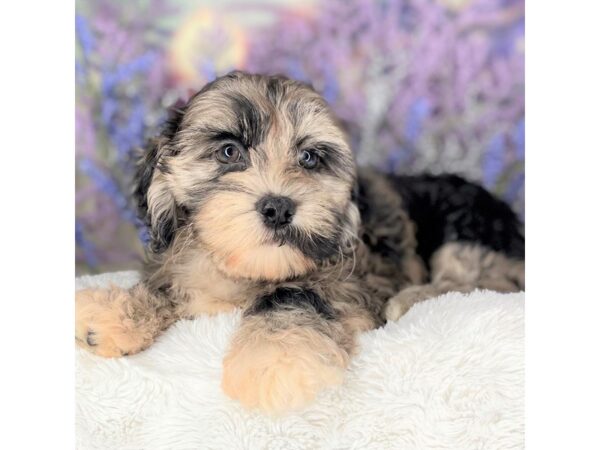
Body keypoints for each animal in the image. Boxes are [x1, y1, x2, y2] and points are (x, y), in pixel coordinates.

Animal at [76, 71, 524, 414]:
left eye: (309, 158)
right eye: (229, 151)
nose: (278, 207)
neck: (246, 269)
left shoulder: (355, 283)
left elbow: (293, 294)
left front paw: (274, 360)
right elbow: (165, 285)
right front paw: (113, 312)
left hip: (466, 226)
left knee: (492, 281)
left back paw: (410, 299)